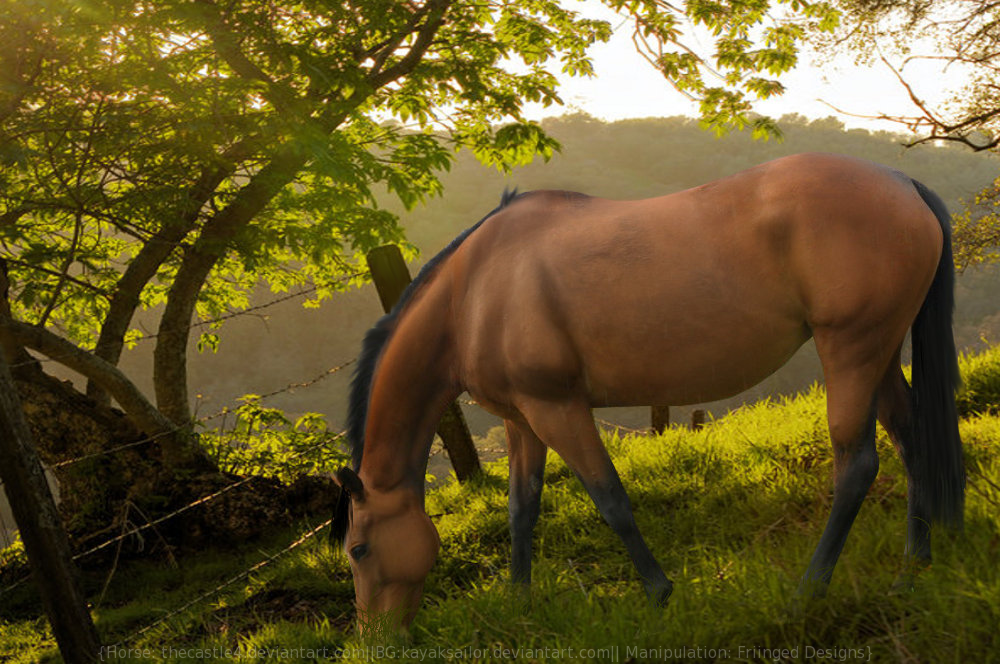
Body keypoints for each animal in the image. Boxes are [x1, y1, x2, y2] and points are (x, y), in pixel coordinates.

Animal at [332, 153, 964, 632]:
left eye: (358, 550)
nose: (376, 639)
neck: (474, 293)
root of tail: (901, 182)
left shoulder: (558, 409)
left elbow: (610, 498)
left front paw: (660, 592)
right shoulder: (522, 420)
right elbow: (521, 509)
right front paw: (519, 601)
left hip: (851, 351)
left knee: (856, 464)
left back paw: (810, 590)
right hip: (880, 354)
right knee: (912, 444)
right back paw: (914, 568)